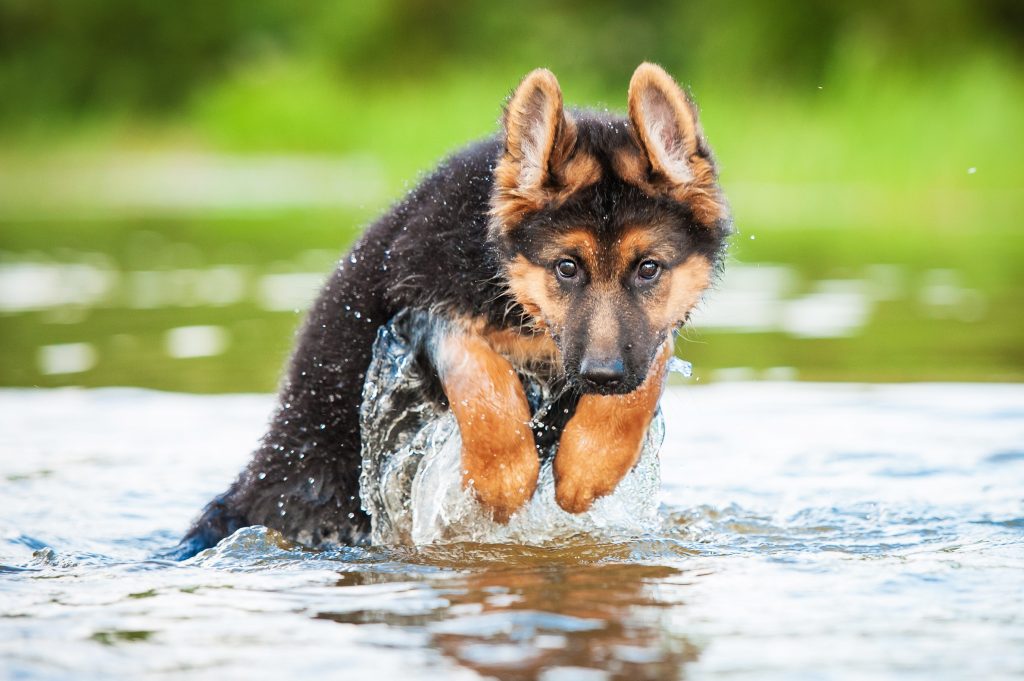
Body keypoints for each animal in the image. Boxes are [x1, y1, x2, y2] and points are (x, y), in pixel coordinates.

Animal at [180, 61, 733, 557]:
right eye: (567, 267)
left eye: (649, 269)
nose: (602, 375)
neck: (506, 281)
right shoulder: (417, 311)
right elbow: (482, 379)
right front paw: (504, 481)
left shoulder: (648, 339)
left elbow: (640, 383)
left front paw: (588, 468)